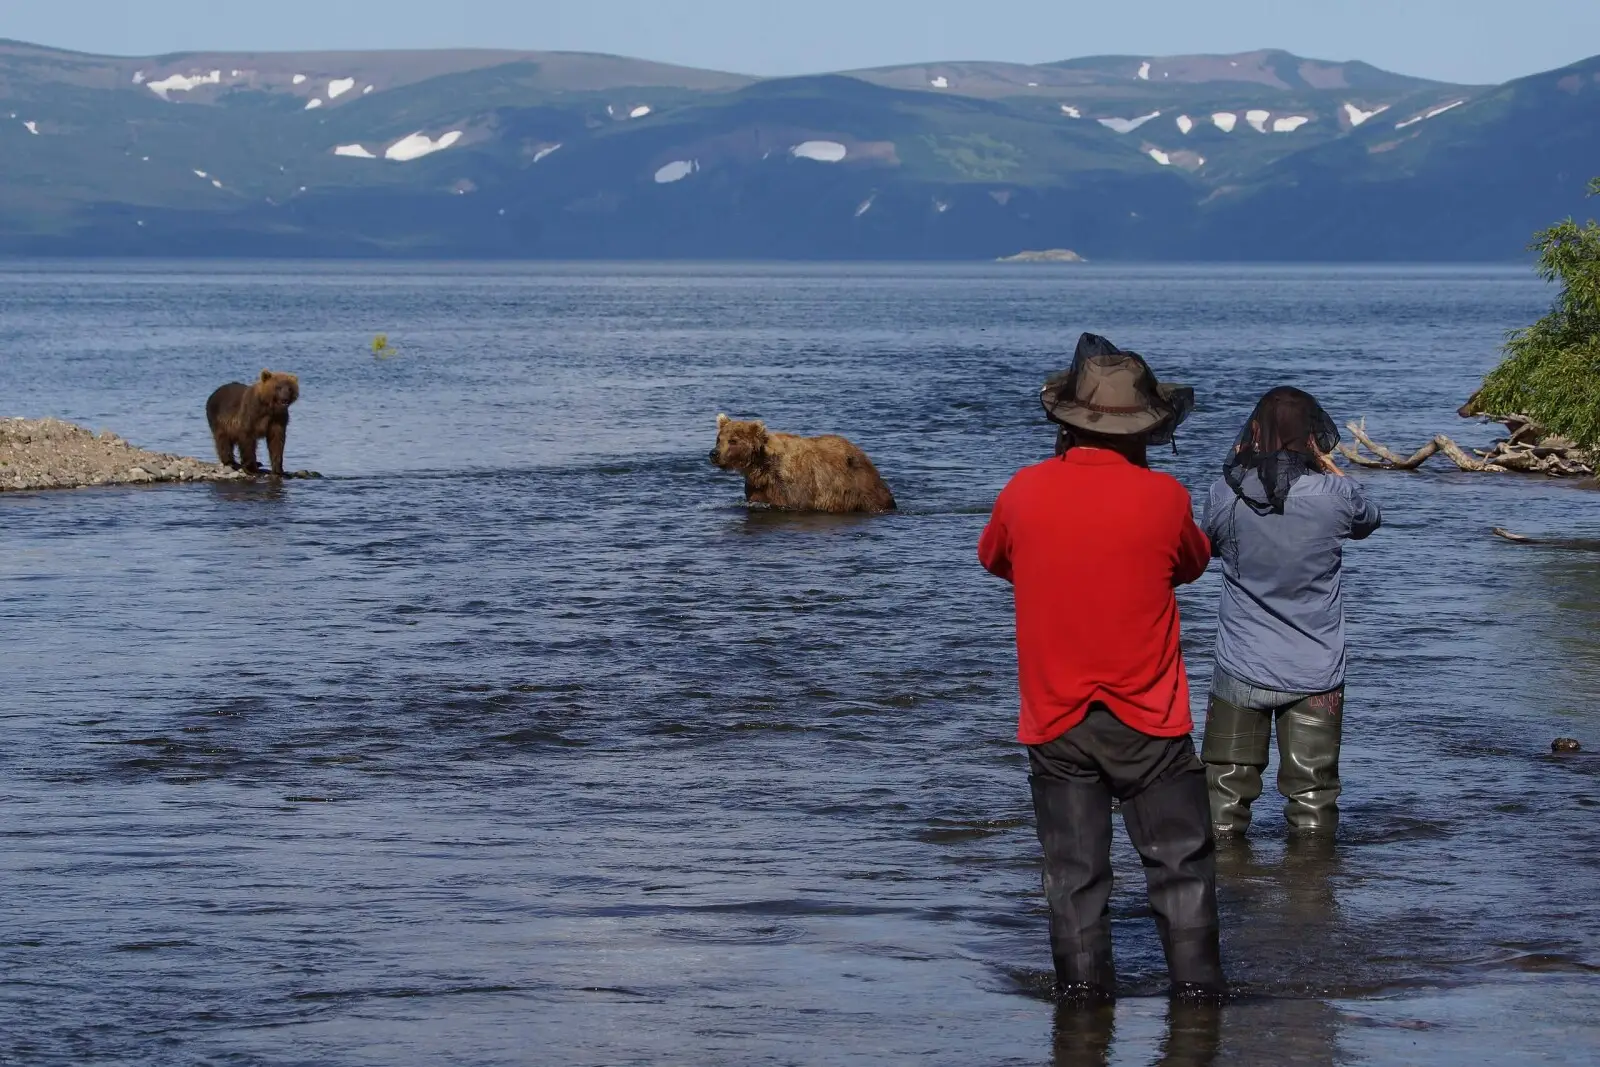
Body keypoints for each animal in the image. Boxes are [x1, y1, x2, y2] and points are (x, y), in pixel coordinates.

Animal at [707, 415, 896, 515]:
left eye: (733, 440)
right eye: (719, 439)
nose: (714, 454)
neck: (762, 466)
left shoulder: (795, 488)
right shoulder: (759, 486)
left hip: (860, 488)